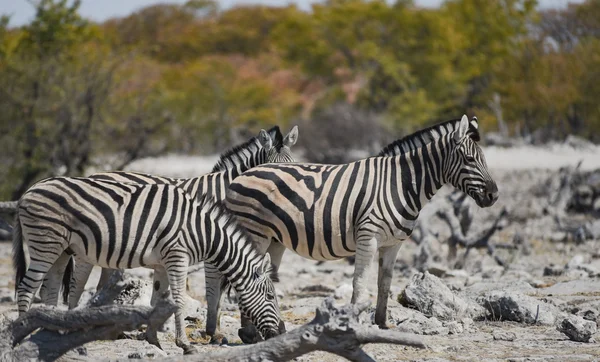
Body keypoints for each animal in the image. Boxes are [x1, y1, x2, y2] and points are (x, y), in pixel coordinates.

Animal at [12, 177, 284, 354]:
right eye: (271, 297)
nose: (281, 332)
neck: (202, 231)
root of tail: (27, 192)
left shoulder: (161, 262)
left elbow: (158, 297)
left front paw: (152, 339)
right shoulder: (177, 256)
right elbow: (178, 299)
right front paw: (185, 345)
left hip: (60, 250)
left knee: (49, 289)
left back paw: (51, 336)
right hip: (45, 244)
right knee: (27, 289)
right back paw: (21, 336)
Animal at [214, 114, 496, 336]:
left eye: (483, 158)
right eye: (469, 159)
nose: (494, 196)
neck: (400, 183)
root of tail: (240, 175)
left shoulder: (393, 244)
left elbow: (384, 284)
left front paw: (382, 324)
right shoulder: (368, 238)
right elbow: (360, 284)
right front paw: (355, 324)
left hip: (273, 240)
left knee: (265, 278)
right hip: (254, 233)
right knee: (244, 277)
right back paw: (249, 334)